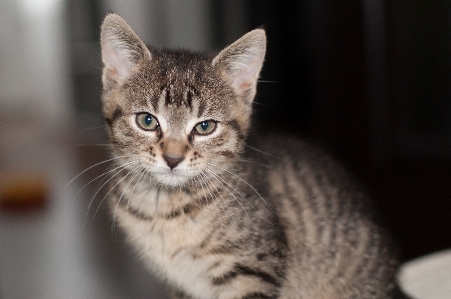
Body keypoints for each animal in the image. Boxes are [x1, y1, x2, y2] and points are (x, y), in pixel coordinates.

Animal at [100, 13, 410, 299]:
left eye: (205, 127)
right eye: (147, 121)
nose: (173, 159)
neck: (165, 207)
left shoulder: (252, 270)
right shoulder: (181, 286)